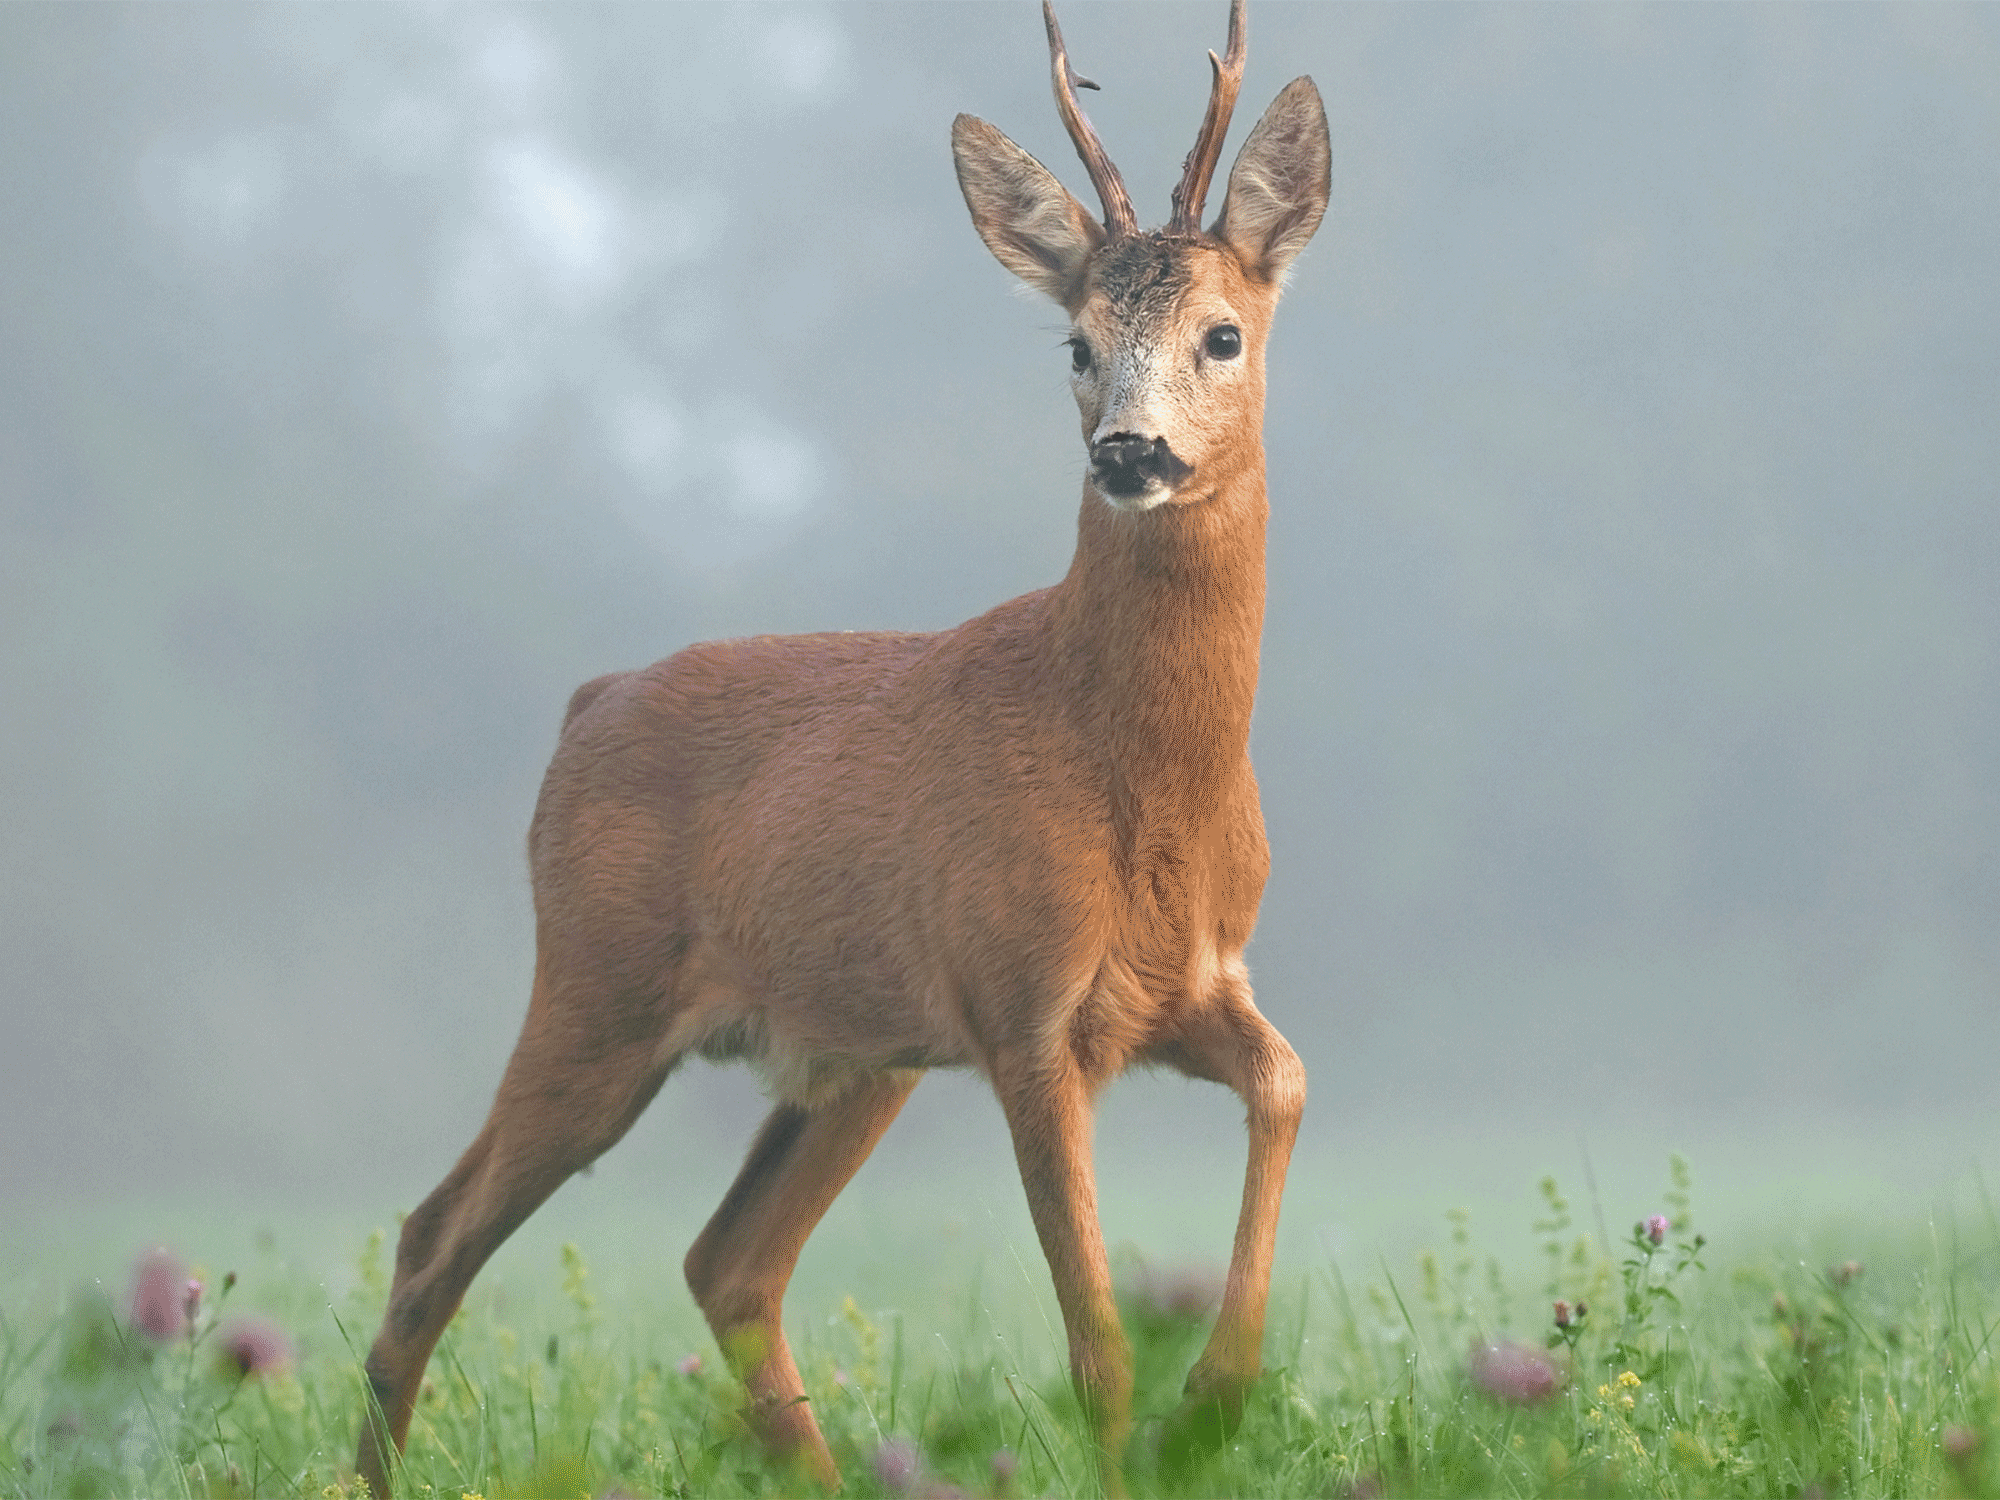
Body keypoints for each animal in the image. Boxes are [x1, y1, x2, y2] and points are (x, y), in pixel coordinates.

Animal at [354, 1, 1328, 1493]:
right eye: (1075, 344)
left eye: (1224, 334)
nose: (1129, 452)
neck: (1141, 782)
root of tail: (587, 703)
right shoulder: (1019, 1004)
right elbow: (1095, 1343)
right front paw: (1157, 1427)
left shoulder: (1192, 983)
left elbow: (1284, 1082)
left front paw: (1219, 1397)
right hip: (595, 990)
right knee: (431, 1237)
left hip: (853, 1055)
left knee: (727, 1261)